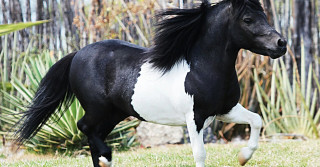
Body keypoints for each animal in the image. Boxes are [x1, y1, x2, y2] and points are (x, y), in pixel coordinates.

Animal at [14, 0, 288, 166]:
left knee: (94, 134)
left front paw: (243, 157)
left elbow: (256, 120)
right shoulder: (195, 118)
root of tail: (77, 54)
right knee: (85, 128)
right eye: (248, 20)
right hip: (98, 109)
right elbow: (200, 154)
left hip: (115, 113)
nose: (281, 44)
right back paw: (106, 158)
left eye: (264, 14)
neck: (202, 69)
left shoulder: (225, 110)